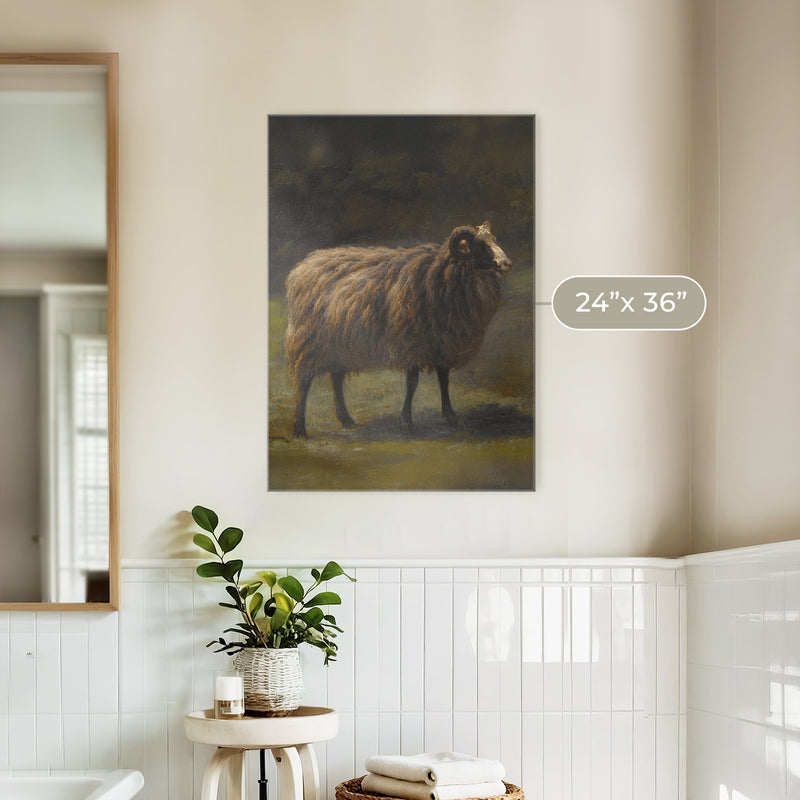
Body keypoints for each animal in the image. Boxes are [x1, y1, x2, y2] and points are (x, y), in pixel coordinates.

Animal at [284, 221, 513, 437]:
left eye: (494, 240)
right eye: (480, 245)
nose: (507, 264)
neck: (441, 275)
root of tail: (303, 266)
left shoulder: (442, 343)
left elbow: (444, 380)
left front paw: (451, 417)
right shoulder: (411, 342)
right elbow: (412, 384)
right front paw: (406, 423)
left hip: (339, 343)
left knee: (336, 379)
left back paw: (346, 420)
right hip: (309, 341)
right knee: (304, 382)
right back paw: (299, 429)